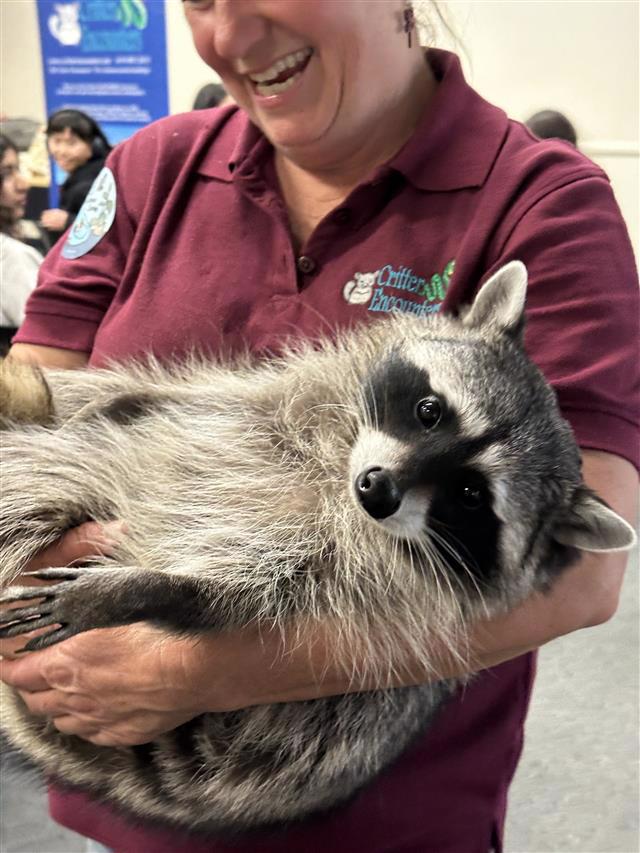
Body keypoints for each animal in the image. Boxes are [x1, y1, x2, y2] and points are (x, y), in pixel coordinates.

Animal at [0, 262, 636, 832]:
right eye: (430, 411)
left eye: (469, 494)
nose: (378, 489)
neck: (337, 469)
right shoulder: (278, 405)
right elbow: (205, 399)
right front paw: (136, 399)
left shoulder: (341, 583)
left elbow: (229, 599)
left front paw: (147, 590)